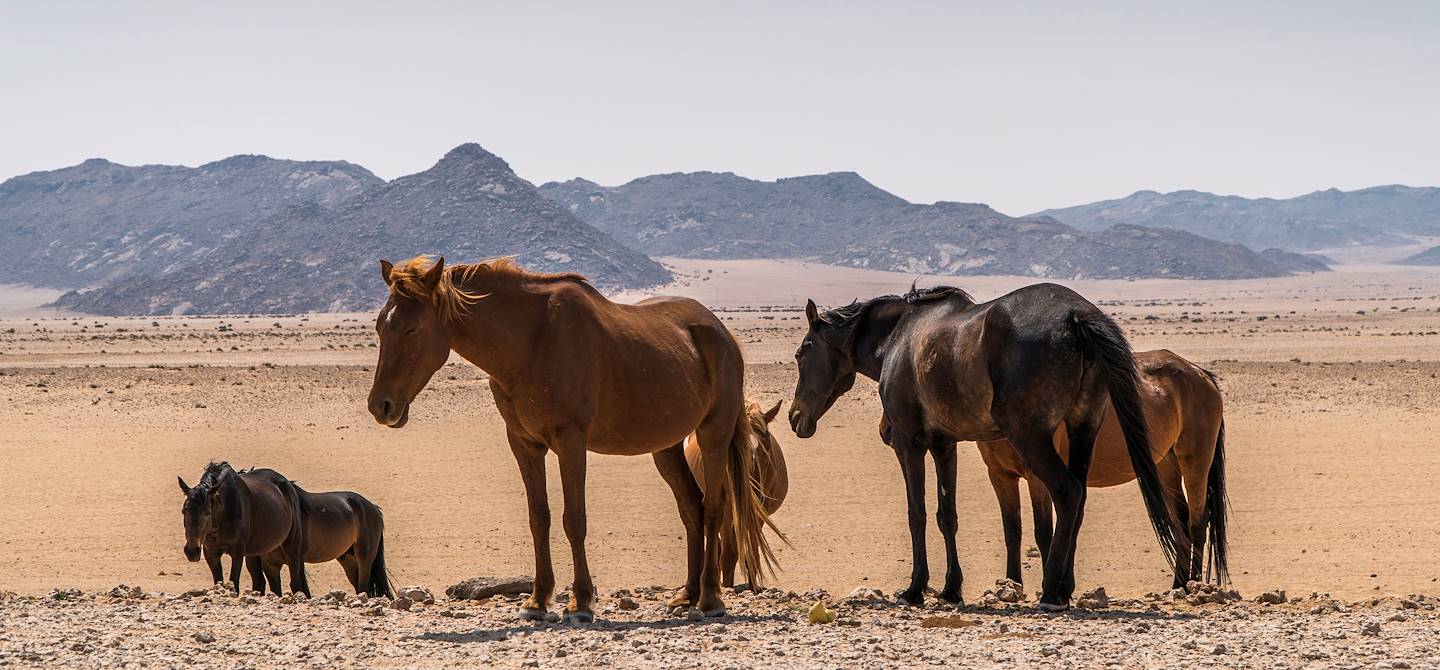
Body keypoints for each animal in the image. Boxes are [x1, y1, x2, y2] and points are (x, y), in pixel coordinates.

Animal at [178, 462, 309, 596]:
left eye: (207, 513)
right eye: (184, 511)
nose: (191, 551)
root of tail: (289, 485)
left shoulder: (237, 553)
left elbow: (234, 583)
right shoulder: (211, 553)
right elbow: (218, 582)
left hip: (291, 548)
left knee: (295, 582)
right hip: (260, 552)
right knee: (261, 581)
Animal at [248, 483, 393, 598]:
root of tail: (373, 508)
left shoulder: (296, 560)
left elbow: (299, 587)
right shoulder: (270, 565)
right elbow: (276, 590)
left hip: (364, 559)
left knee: (364, 587)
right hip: (349, 561)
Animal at [685, 399, 789, 588]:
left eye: (766, 449)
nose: (753, 496)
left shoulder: (758, 516)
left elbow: (752, 553)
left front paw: (754, 588)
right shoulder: (727, 512)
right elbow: (728, 555)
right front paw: (727, 586)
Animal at [788, 284, 1181, 611]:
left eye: (802, 352)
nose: (795, 417)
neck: (898, 339)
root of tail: (1076, 316)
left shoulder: (909, 444)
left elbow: (917, 513)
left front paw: (915, 589)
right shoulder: (944, 446)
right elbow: (947, 516)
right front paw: (951, 589)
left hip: (1032, 439)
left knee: (1067, 492)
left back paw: (1052, 591)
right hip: (1083, 429)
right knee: (1080, 497)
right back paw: (1065, 586)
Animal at [974, 349, 1228, 590]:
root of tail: (1201, 374)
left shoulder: (1038, 478)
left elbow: (1044, 533)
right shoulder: (1000, 475)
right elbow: (1012, 530)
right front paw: (1012, 583)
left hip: (1195, 461)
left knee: (1197, 521)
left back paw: (1194, 584)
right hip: (1166, 464)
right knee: (1182, 520)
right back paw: (1178, 584)